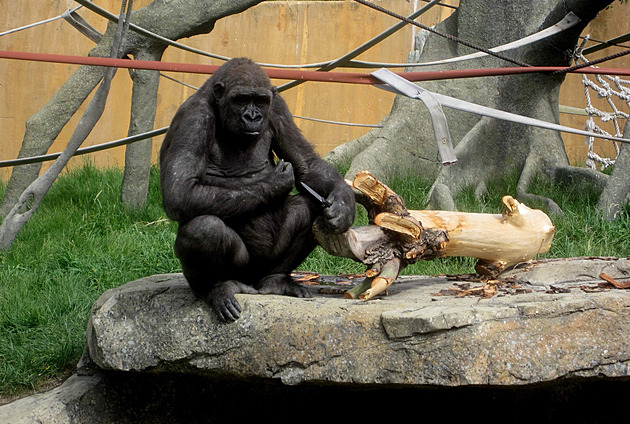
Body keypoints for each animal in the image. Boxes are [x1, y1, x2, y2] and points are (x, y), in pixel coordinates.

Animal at [160, 57, 358, 322]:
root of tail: (252, 283)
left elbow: (308, 165)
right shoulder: (193, 119)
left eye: (261, 101)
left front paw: (343, 205)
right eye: (242, 99)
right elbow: (180, 191)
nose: (253, 116)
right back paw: (218, 288)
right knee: (204, 229)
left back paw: (276, 281)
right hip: (242, 270)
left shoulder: (278, 107)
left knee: (311, 207)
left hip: (265, 267)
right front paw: (277, 182)